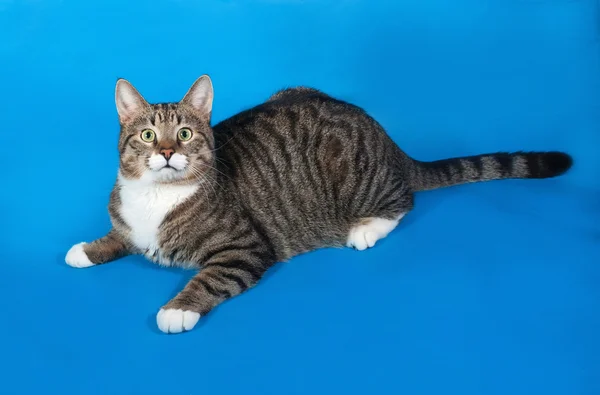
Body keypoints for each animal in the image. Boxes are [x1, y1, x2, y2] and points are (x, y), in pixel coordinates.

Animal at [64, 75, 572, 334]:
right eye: (149, 134)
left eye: (185, 133)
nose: (168, 151)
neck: (156, 197)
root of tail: (388, 139)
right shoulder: (128, 222)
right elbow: (119, 236)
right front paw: (87, 249)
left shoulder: (245, 249)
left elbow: (209, 279)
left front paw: (177, 309)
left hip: (359, 179)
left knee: (403, 200)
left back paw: (365, 228)